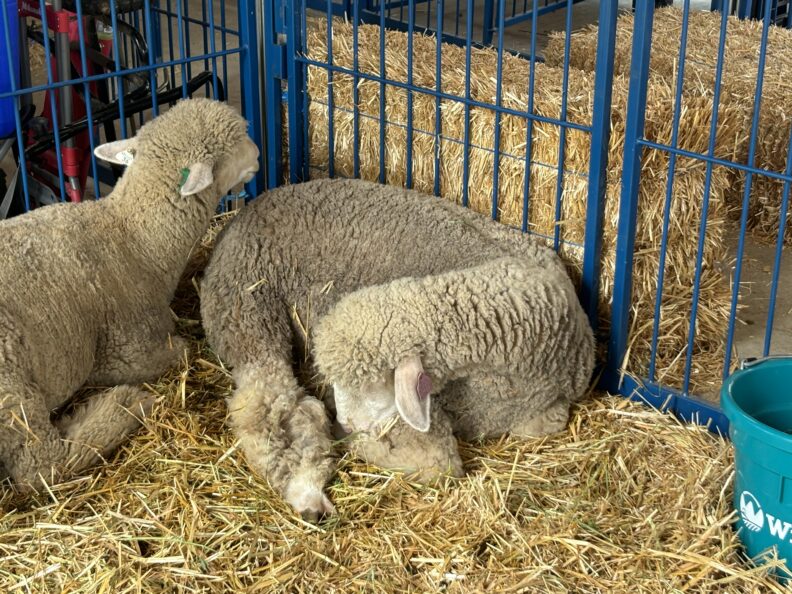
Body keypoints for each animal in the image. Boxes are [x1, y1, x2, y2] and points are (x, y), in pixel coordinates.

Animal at [0, 98, 259, 494]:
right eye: (237, 144)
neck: (134, 239)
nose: (259, 154)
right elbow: (181, 350)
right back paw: (124, 404)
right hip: (10, 385)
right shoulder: (123, 350)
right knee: (42, 466)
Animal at [200, 177, 595, 520]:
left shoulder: (545, 414)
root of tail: (243, 212)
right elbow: (440, 466)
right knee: (268, 405)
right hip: (247, 309)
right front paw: (351, 441)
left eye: (369, 385)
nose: (342, 420)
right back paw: (307, 491)